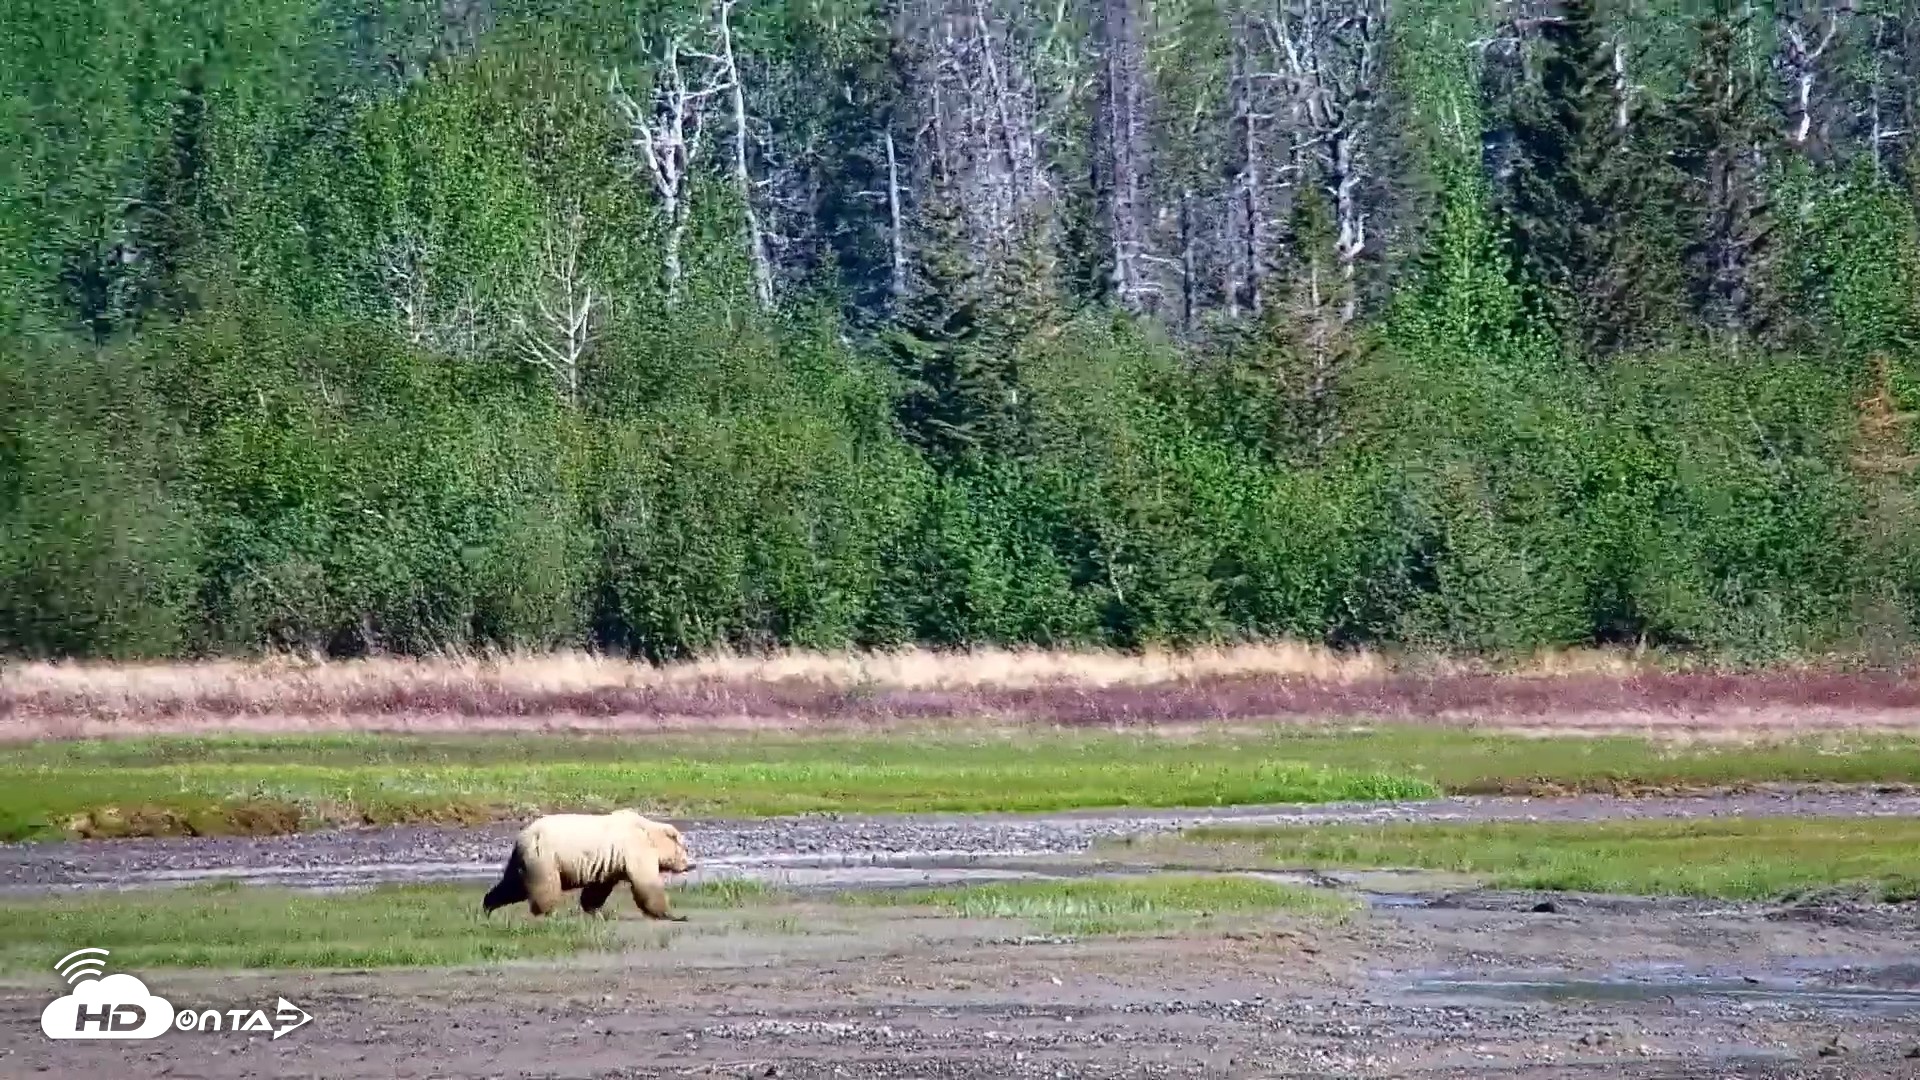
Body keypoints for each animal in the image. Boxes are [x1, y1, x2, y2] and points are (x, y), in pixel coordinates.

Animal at [481, 808, 696, 921]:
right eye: (685, 848)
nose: (692, 865)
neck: (649, 833)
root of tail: (522, 837)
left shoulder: (610, 862)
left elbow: (598, 888)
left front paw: (595, 911)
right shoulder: (635, 848)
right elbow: (647, 883)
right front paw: (671, 914)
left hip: (525, 861)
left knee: (511, 886)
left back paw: (488, 906)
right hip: (545, 856)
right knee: (544, 886)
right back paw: (549, 913)